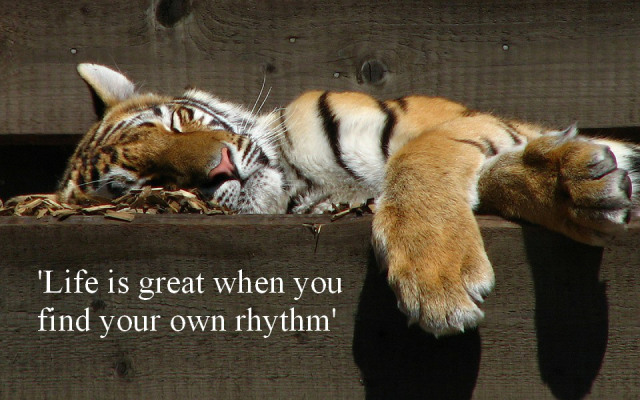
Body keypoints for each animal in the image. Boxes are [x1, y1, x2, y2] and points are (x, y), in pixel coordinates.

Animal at [58, 63, 640, 336]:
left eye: (179, 121)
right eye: (148, 181)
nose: (220, 166)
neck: (303, 181)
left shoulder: (458, 122)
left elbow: (419, 159)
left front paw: (437, 275)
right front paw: (581, 182)